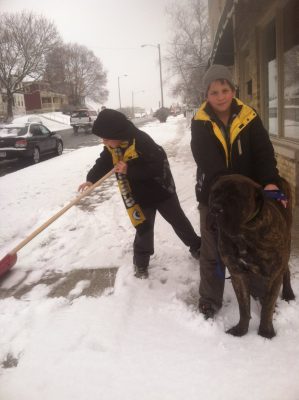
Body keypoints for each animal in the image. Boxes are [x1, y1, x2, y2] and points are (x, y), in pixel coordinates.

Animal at [210, 174, 296, 338]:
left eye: (236, 196)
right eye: (214, 194)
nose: (215, 208)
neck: (243, 233)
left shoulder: (273, 275)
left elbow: (267, 307)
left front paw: (266, 332)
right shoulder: (237, 274)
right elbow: (243, 307)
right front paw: (241, 330)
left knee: (285, 270)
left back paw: (288, 293)